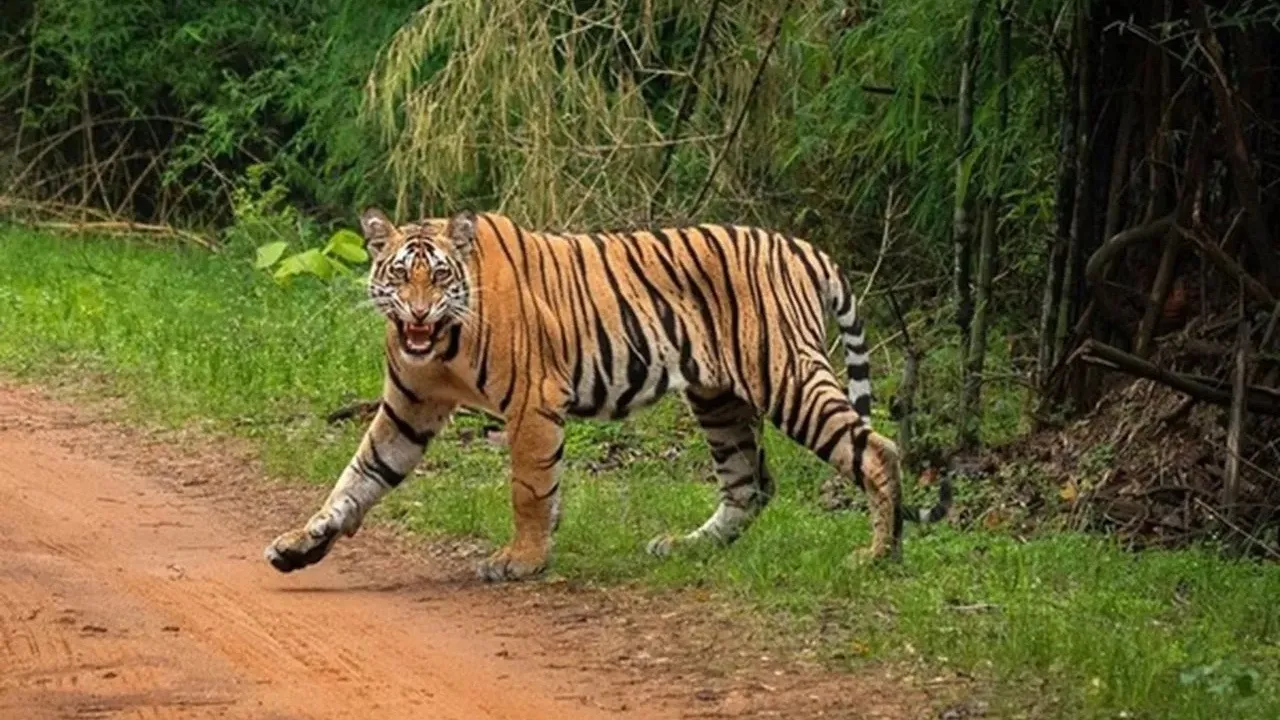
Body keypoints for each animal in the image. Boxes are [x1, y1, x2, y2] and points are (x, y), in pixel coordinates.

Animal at [264, 207, 952, 576]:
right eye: (398, 275)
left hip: (786, 375)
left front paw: (523, 560)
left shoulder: (533, 401)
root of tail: (806, 248)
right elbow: (356, 479)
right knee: (750, 484)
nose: (417, 313)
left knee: (876, 451)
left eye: (437, 277)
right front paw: (300, 544)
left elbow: (529, 487)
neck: (441, 345)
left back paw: (878, 556)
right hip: (718, 398)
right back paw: (684, 548)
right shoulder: (409, 408)